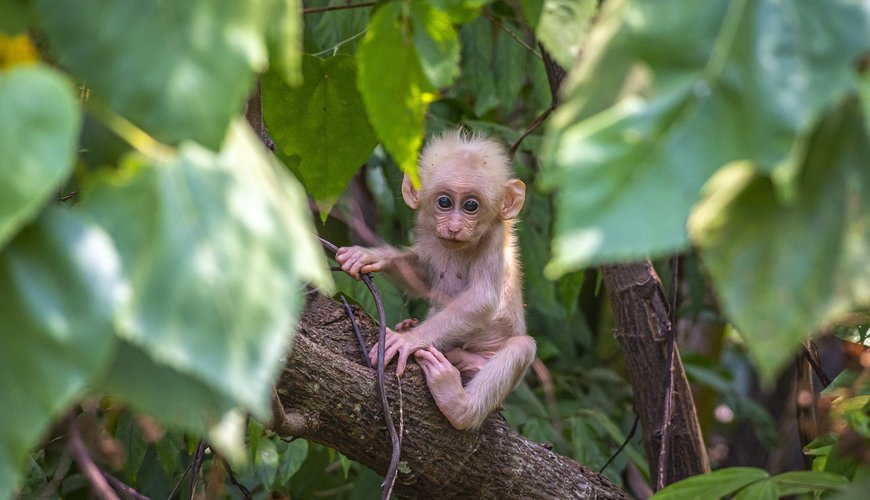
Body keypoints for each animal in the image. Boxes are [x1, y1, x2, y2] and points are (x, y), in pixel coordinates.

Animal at [335, 129, 535, 430]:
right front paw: (372, 256)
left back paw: (458, 405)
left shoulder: (494, 237)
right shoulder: (429, 231)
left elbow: (483, 298)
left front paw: (408, 340)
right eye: (444, 202)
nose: (454, 227)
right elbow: (424, 278)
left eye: (471, 206)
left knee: (523, 346)